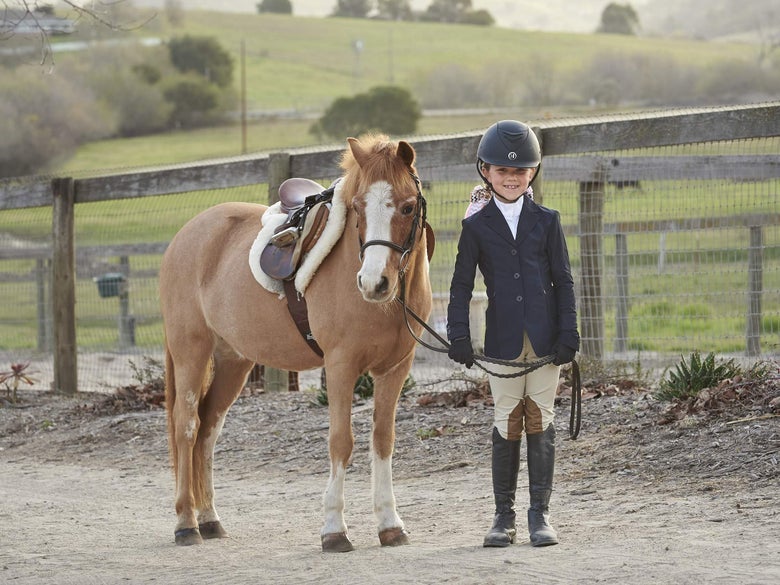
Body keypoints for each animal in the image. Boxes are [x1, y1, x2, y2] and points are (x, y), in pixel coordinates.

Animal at [159, 134, 433, 552]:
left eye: (407, 206)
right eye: (357, 207)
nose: (374, 284)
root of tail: (185, 236)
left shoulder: (394, 369)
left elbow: (383, 440)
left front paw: (390, 525)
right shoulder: (340, 366)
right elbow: (341, 441)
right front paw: (334, 530)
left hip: (233, 361)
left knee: (208, 428)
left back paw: (209, 520)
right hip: (191, 350)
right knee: (186, 427)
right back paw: (186, 524)